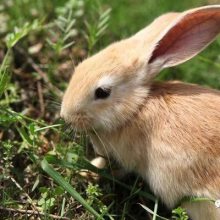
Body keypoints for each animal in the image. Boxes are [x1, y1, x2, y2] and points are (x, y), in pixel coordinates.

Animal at [60, 5, 220, 220]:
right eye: (80, 67)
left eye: (102, 92)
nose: (65, 115)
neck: (137, 107)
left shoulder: (125, 158)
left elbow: (113, 168)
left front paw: (86, 173)